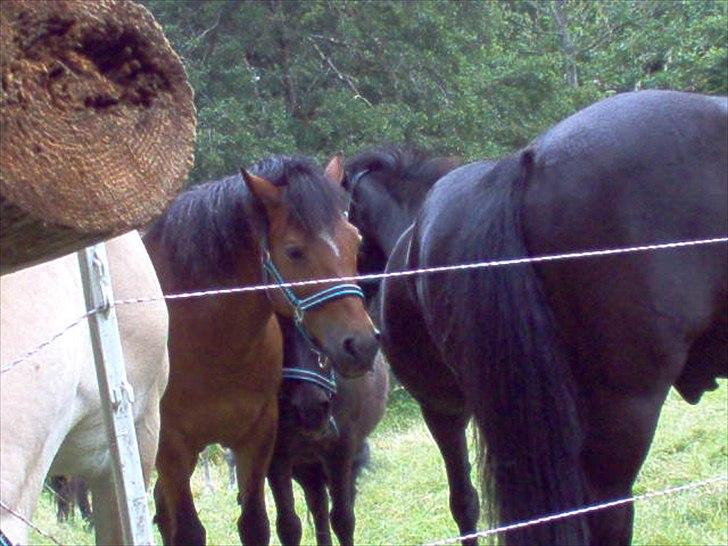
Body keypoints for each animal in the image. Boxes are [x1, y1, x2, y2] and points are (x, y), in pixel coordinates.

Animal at [268, 315, 389, 546]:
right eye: (280, 330)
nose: (310, 408)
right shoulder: (276, 459)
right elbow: (289, 526)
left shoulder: (341, 450)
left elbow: (343, 519)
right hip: (305, 466)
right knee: (318, 506)